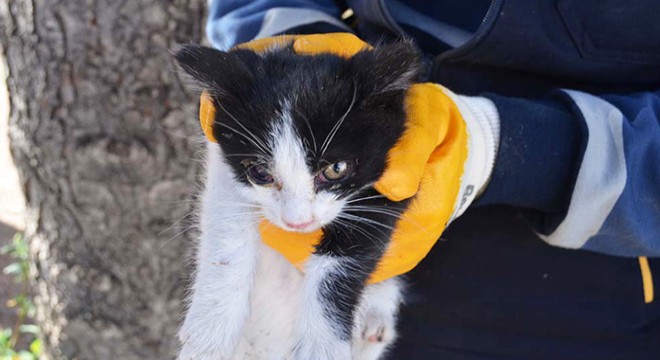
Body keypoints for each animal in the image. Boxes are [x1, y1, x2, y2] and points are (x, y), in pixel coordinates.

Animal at [175, 39, 420, 360]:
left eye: (336, 169)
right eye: (260, 172)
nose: (298, 222)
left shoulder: (394, 181)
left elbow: (347, 257)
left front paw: (322, 346)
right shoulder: (223, 163)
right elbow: (228, 224)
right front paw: (210, 329)